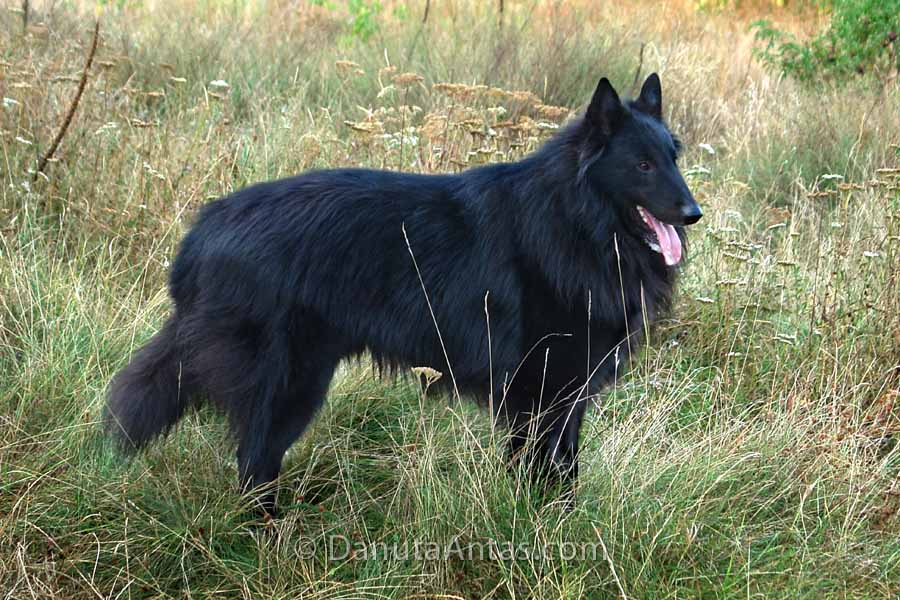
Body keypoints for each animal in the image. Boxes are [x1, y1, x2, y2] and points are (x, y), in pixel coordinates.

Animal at [107, 74, 704, 516]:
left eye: (673, 158)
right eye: (643, 164)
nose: (694, 213)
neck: (575, 222)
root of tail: (205, 227)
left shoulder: (564, 398)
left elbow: (564, 471)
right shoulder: (543, 395)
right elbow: (547, 476)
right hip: (288, 384)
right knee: (254, 464)